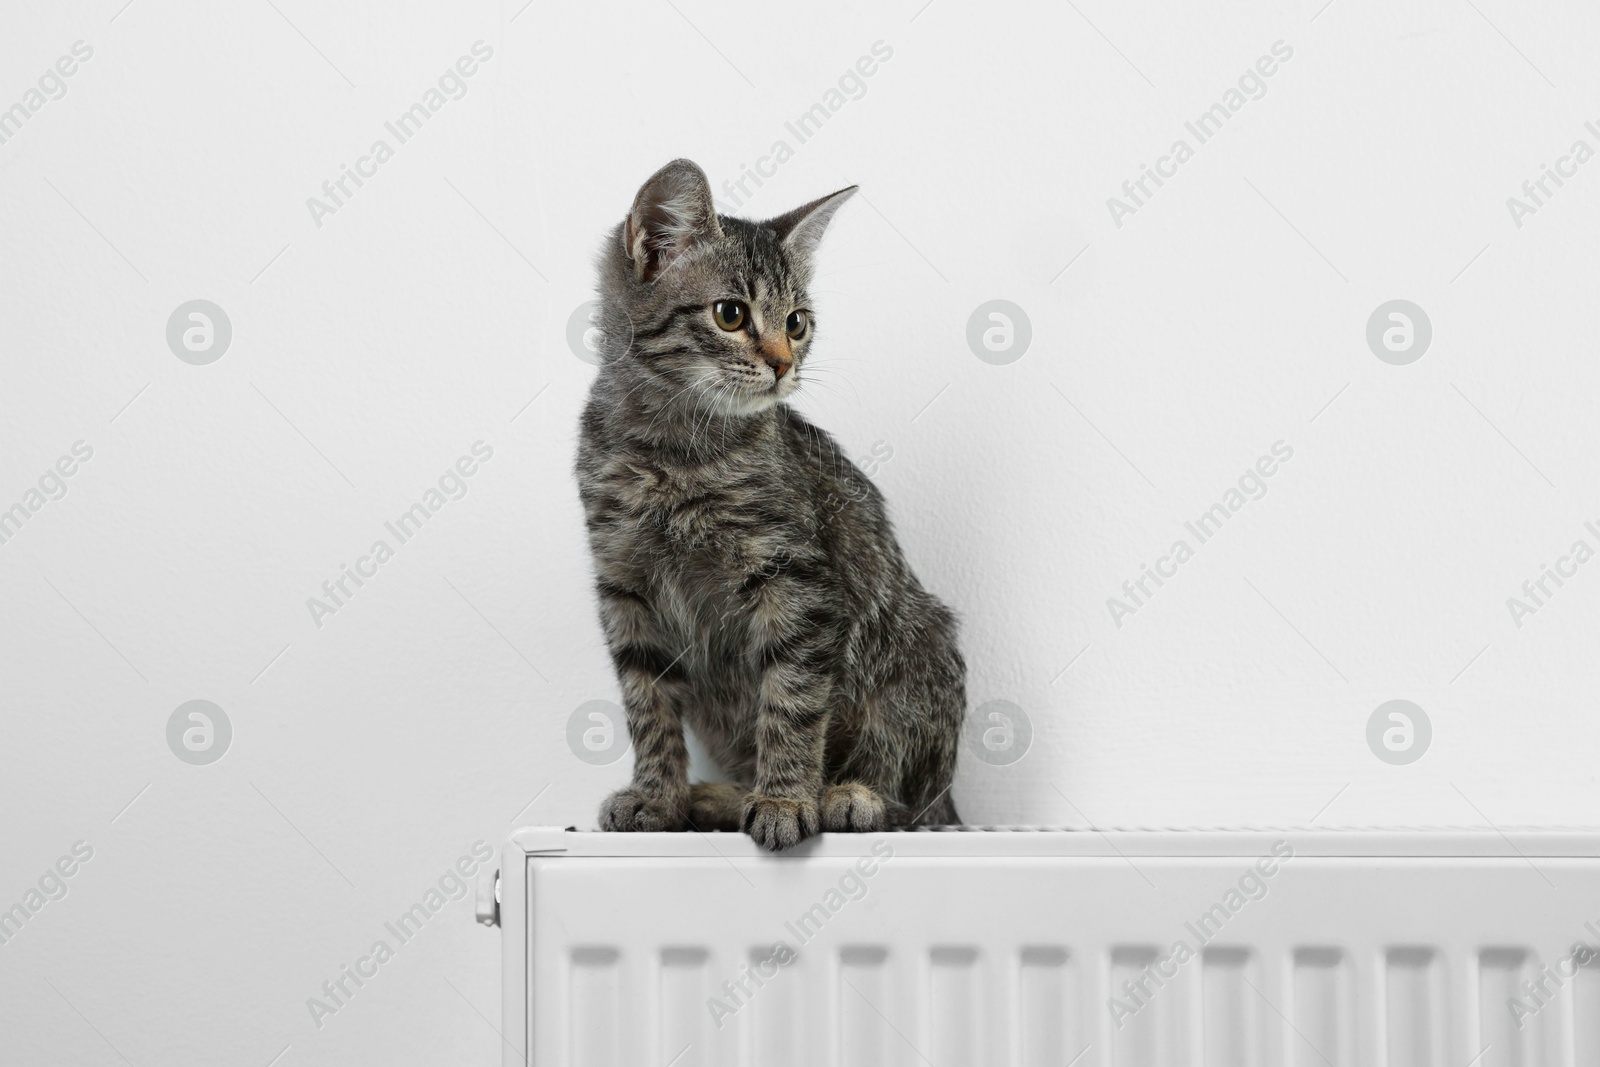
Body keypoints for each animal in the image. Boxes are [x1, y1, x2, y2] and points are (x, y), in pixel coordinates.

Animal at [585, 158, 966, 857]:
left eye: (796, 322)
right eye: (731, 315)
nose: (785, 365)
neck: (672, 450)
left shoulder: (796, 582)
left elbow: (790, 702)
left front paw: (787, 798)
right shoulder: (624, 588)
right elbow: (646, 705)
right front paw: (657, 795)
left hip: (921, 647)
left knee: (913, 801)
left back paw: (847, 795)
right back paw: (718, 797)